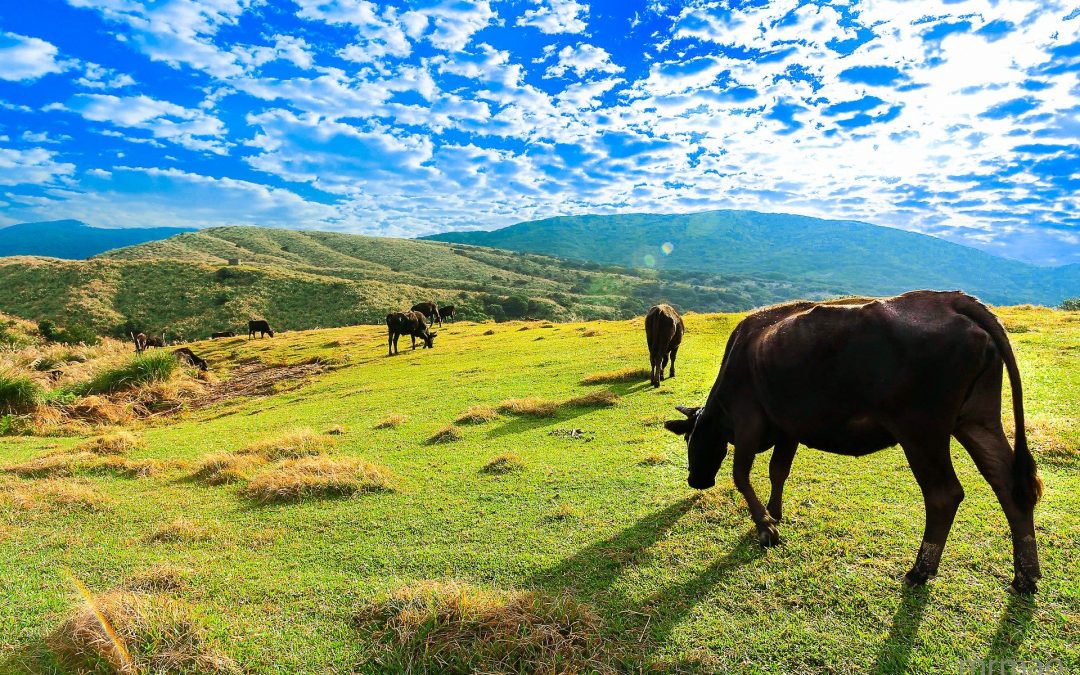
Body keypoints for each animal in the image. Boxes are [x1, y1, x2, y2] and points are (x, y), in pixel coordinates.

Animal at [660, 289, 1041, 587]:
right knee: (1007, 482)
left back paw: (920, 570)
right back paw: (1026, 575)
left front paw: (765, 527)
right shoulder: (788, 427)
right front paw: (774, 512)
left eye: (690, 440)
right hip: (976, 418)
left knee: (944, 495)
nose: (695, 480)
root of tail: (948, 299)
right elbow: (778, 471)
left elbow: (741, 475)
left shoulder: (749, 421)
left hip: (921, 431)